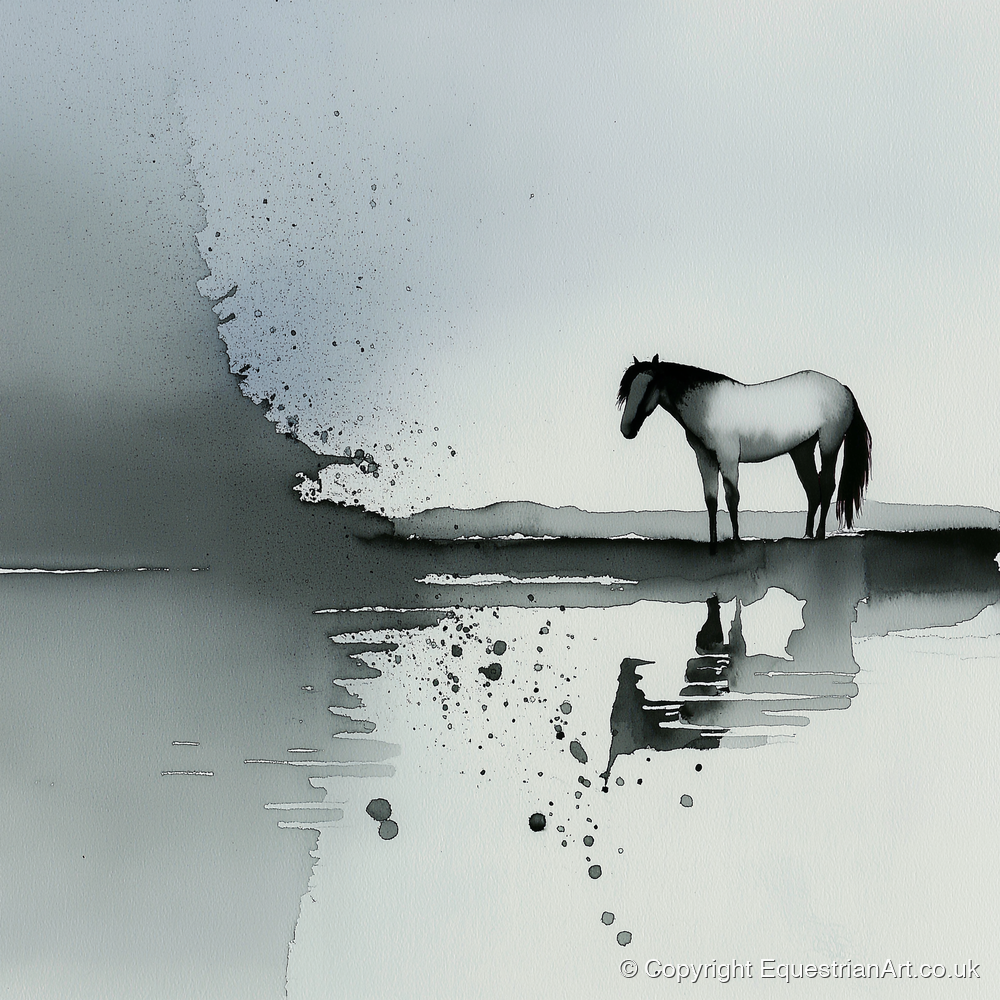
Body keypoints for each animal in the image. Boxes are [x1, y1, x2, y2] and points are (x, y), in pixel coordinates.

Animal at [617, 355, 871, 552]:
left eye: (650, 385)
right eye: (628, 389)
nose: (626, 429)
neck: (707, 405)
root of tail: (843, 388)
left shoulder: (728, 457)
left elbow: (732, 498)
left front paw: (737, 543)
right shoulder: (705, 459)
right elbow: (711, 500)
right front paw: (713, 546)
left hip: (829, 443)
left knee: (826, 484)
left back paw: (818, 536)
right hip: (801, 449)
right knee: (812, 489)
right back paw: (806, 536)